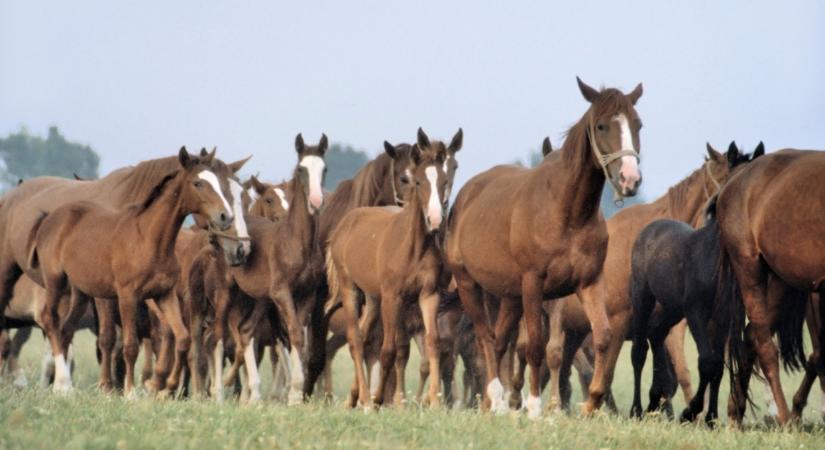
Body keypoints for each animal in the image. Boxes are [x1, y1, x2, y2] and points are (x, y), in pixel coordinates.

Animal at [30, 149, 243, 394]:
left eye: (219, 182)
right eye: (198, 183)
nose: (225, 217)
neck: (149, 239)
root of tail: (50, 218)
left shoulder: (164, 294)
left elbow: (182, 339)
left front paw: (165, 386)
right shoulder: (127, 296)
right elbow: (130, 346)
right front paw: (130, 392)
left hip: (81, 292)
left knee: (66, 329)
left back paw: (62, 386)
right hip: (55, 281)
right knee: (51, 320)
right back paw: (63, 383)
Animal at [328, 129, 458, 408]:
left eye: (444, 180)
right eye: (417, 181)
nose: (435, 219)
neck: (413, 247)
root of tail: (345, 224)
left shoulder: (428, 295)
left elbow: (433, 343)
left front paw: (434, 403)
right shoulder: (392, 297)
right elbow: (388, 350)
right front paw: (379, 400)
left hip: (373, 298)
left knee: (364, 335)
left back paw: (354, 397)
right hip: (350, 289)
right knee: (356, 339)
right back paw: (366, 400)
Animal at [444, 78, 644, 418]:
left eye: (637, 123)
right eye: (602, 125)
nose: (630, 179)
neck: (567, 212)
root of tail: (465, 194)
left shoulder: (589, 282)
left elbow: (603, 336)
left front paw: (591, 402)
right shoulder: (534, 284)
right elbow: (535, 345)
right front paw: (535, 407)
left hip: (510, 295)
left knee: (499, 340)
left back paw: (497, 404)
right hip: (469, 283)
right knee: (485, 336)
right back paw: (496, 398)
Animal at [628, 143, 764, 426]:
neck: (713, 258)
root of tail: (649, 229)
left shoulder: (721, 318)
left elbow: (718, 368)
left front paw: (710, 418)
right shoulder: (696, 313)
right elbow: (707, 362)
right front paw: (690, 412)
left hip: (672, 308)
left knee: (656, 333)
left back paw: (654, 401)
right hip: (642, 297)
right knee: (639, 349)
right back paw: (637, 409)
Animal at [716, 149, 824, 426]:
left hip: (780, 279)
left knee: (752, 335)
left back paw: (736, 412)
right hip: (749, 267)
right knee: (765, 345)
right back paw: (785, 418)